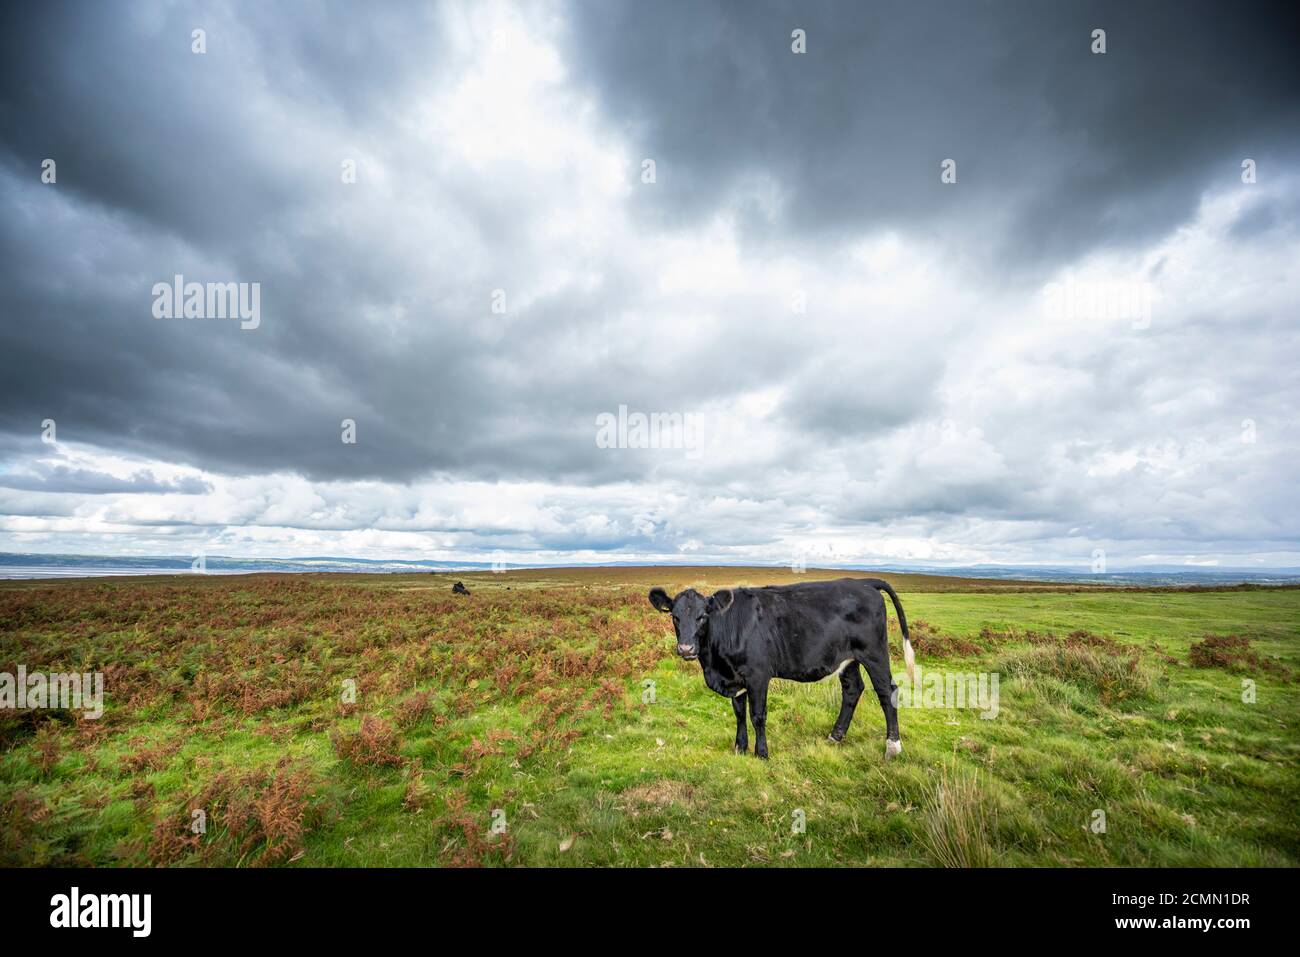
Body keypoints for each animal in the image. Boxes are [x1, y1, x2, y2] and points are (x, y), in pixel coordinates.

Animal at [647, 579, 915, 759]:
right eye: (675, 617)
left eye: (703, 616)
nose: (686, 648)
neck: (716, 667)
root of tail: (864, 582)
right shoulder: (735, 677)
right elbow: (739, 712)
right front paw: (740, 748)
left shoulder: (757, 675)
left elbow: (757, 715)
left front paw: (761, 753)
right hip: (848, 659)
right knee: (852, 690)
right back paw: (835, 736)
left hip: (874, 653)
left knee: (887, 691)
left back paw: (893, 747)